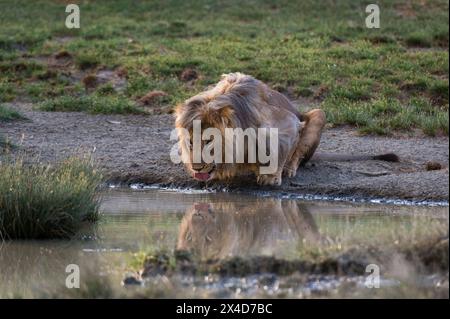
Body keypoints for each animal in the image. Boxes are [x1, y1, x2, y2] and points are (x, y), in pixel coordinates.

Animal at [176, 72, 398, 185]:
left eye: (209, 141)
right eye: (190, 142)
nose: (196, 168)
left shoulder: (289, 124)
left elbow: (281, 150)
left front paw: (271, 176)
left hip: (319, 113)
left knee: (298, 155)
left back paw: (289, 169)